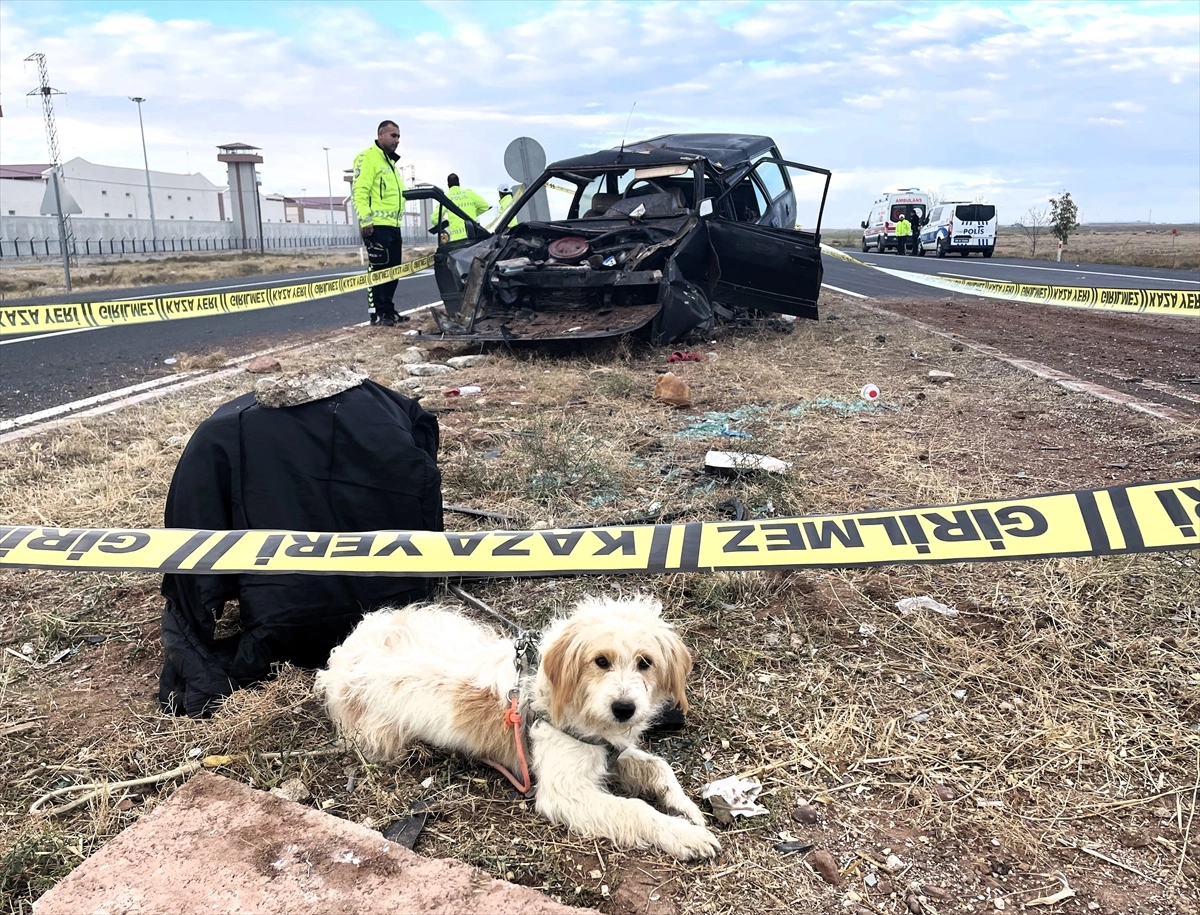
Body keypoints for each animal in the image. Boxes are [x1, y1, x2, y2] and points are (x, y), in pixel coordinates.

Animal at [314, 590, 715, 854]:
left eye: (645, 662)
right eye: (601, 661)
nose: (624, 709)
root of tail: (349, 647)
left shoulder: (610, 750)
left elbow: (658, 766)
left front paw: (686, 807)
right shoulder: (566, 790)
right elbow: (635, 809)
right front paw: (684, 835)